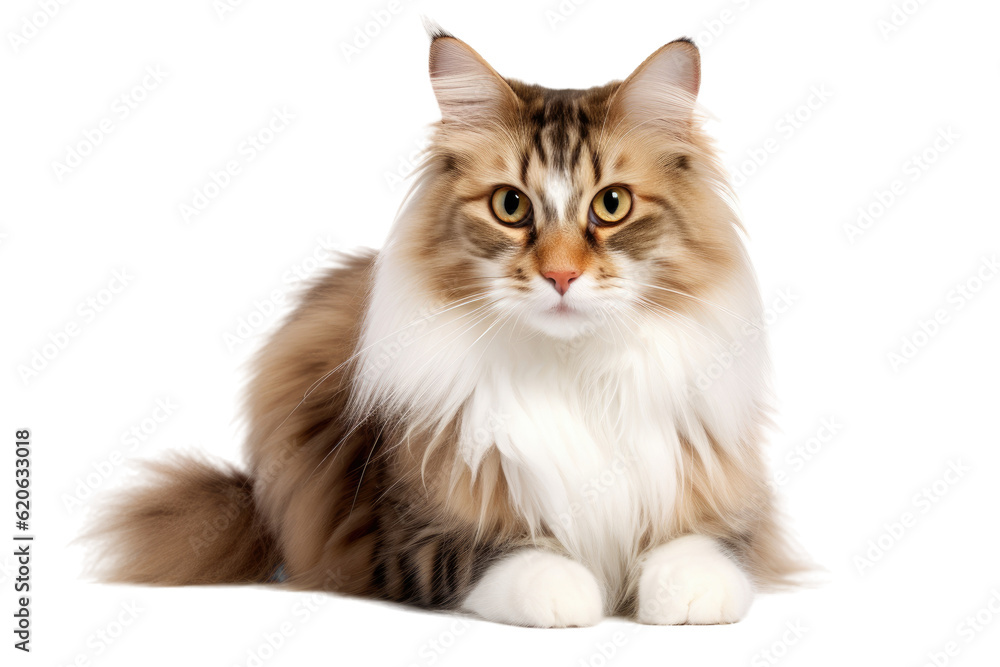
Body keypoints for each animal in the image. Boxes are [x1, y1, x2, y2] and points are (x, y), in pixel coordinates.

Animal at [86, 28, 804, 628]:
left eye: (612, 204)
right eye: (511, 206)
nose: (562, 275)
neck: (571, 371)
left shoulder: (724, 498)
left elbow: (710, 550)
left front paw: (685, 596)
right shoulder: (411, 534)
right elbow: (506, 555)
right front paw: (572, 593)